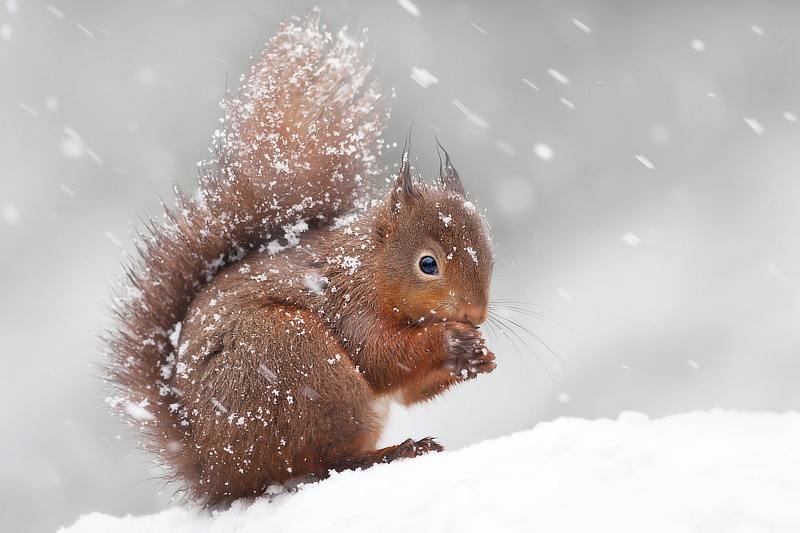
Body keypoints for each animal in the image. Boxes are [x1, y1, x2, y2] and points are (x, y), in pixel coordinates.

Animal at [105, 11, 495, 506]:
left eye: (490, 253)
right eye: (428, 264)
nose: (475, 315)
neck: (370, 267)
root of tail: (218, 473)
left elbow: (409, 391)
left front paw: (479, 355)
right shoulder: (350, 303)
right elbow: (380, 358)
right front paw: (451, 343)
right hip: (301, 364)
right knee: (325, 463)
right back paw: (396, 451)